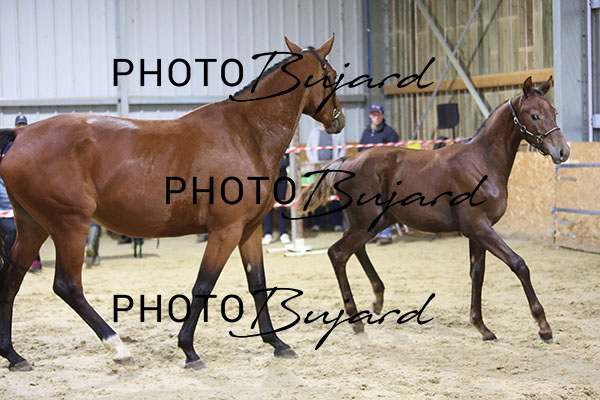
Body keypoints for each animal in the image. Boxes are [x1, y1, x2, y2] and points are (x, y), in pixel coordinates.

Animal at [0, 36, 345, 371]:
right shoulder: (226, 231)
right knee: (68, 285)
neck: (246, 135)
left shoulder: (250, 229)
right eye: (330, 75)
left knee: (11, 280)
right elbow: (203, 285)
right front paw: (189, 350)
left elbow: (258, 283)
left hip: (33, 227)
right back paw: (118, 348)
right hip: (70, 225)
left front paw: (277, 343)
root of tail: (21, 136)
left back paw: (14, 355)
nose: (338, 122)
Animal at [297, 76, 569, 342]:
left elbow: (477, 274)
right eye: (534, 115)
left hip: (376, 222)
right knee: (338, 253)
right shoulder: (478, 227)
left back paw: (377, 299)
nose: (563, 151)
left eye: (554, 112)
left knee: (355, 250)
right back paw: (356, 319)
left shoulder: (478, 232)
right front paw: (544, 327)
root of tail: (346, 161)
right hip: (366, 222)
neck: (480, 162)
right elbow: (518, 264)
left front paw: (481, 327)